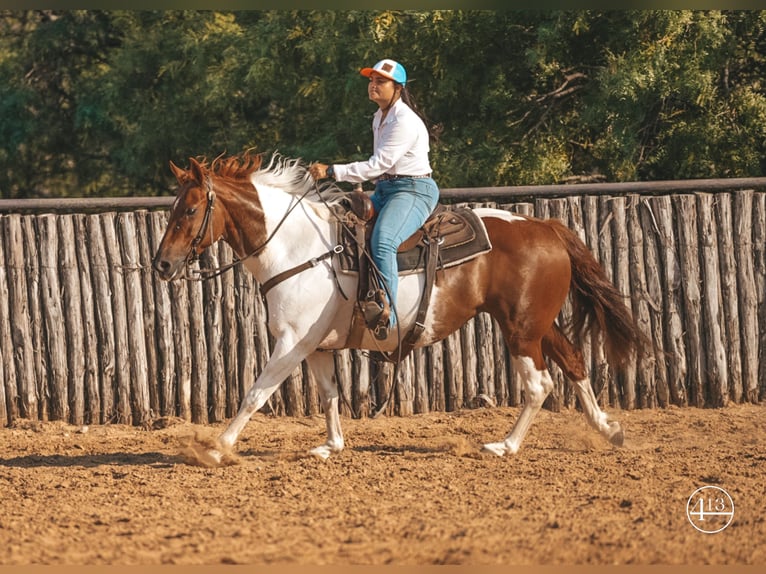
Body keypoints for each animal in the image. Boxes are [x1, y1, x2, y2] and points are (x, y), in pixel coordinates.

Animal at [153, 151, 644, 466]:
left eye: (191, 209)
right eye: (172, 208)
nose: (162, 264)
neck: (296, 245)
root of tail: (544, 226)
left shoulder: (292, 343)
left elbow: (255, 394)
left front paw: (215, 447)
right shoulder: (316, 346)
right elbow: (330, 394)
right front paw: (331, 446)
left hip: (520, 330)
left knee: (539, 384)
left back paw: (504, 446)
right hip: (538, 324)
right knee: (574, 361)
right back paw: (608, 429)